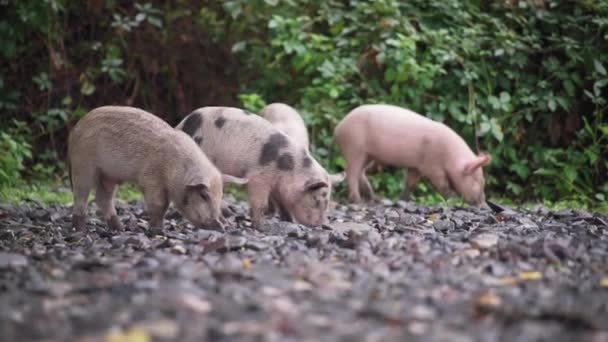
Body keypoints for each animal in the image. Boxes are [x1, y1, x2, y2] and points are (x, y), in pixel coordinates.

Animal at [66, 105, 228, 231]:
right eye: (204, 195)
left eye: (220, 196)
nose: (219, 226)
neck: (174, 167)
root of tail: (74, 131)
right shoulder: (151, 179)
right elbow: (160, 204)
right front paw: (157, 230)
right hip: (83, 164)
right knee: (81, 195)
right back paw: (80, 230)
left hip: (108, 176)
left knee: (102, 198)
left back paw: (120, 229)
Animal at [176, 107, 334, 230]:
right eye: (316, 199)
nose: (320, 224)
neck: (289, 168)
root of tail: (181, 125)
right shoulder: (258, 176)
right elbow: (261, 203)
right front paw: (261, 228)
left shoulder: (276, 184)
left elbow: (282, 203)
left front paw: (288, 221)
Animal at [334, 104, 492, 204]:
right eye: (475, 181)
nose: (483, 205)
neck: (449, 156)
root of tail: (339, 127)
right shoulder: (432, 166)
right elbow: (442, 184)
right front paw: (452, 200)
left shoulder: (416, 167)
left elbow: (410, 183)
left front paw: (403, 200)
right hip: (354, 148)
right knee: (351, 171)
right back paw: (357, 200)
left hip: (368, 154)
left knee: (361, 172)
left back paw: (374, 198)